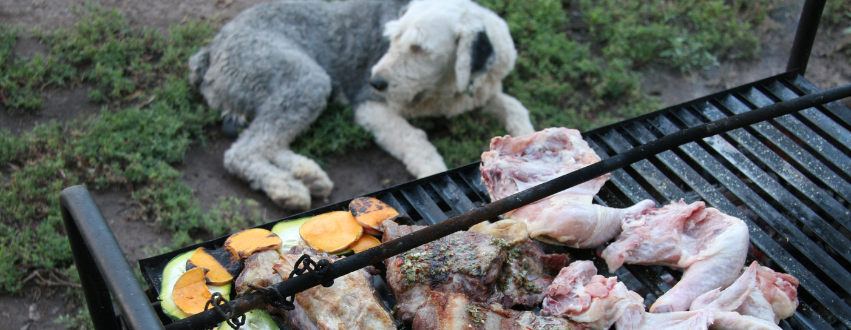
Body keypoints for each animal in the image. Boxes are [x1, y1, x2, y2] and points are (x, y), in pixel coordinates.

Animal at [191, 0, 536, 210]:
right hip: (307, 80)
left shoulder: (485, 91)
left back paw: (308, 174)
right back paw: (287, 188)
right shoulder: (370, 107)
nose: (375, 82)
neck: (446, 87)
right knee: (244, 151)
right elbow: (416, 141)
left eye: (419, 48)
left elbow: (516, 108)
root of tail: (209, 51)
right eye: (392, 38)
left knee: (266, 142)